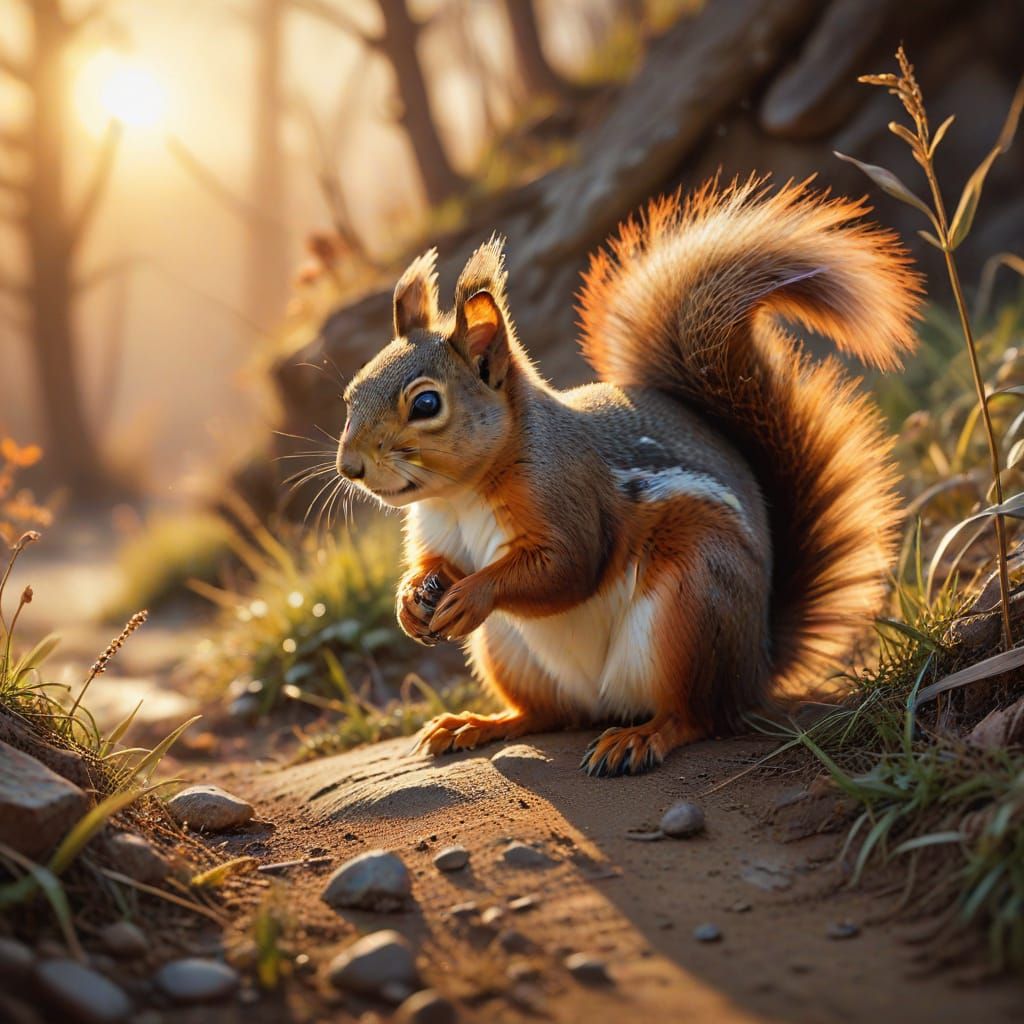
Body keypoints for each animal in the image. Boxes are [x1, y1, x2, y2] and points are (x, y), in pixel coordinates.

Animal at [335, 176, 922, 776]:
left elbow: (567, 567)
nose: (349, 467)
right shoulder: (437, 532)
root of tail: (757, 662)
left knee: (698, 716)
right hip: (508, 652)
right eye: (351, 393)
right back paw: (478, 723)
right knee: (548, 715)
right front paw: (411, 600)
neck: (462, 494)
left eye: (426, 403)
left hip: (691, 609)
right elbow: (435, 565)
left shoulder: (568, 494)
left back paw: (641, 737)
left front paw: (472, 593)